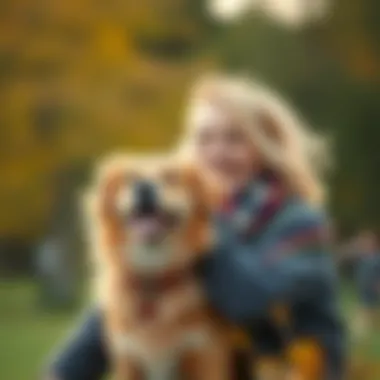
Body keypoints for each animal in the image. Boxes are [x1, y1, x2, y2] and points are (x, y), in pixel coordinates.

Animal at [83, 154, 230, 380]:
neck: (152, 280)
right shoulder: (128, 358)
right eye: (130, 178)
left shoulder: (204, 352)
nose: (144, 187)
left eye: (171, 177)